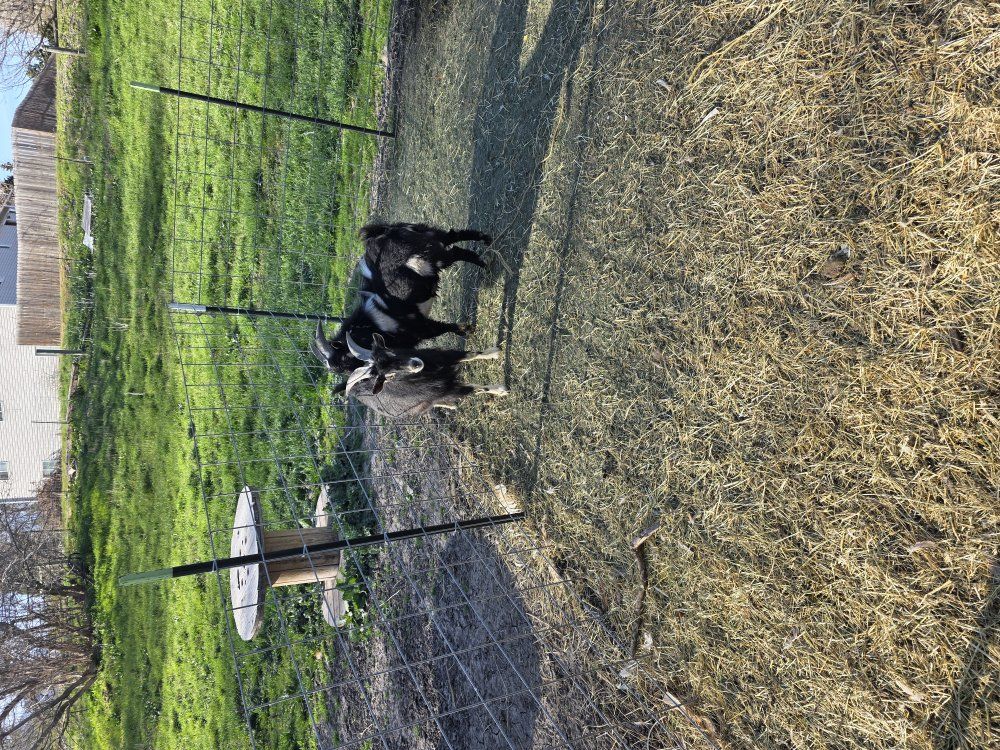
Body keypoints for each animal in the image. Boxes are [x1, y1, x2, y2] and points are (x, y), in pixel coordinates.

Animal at [336, 332, 506, 419]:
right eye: (388, 376)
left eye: (390, 351)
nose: (415, 364)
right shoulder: (446, 390)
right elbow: (475, 388)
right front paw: (501, 390)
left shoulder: (443, 357)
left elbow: (471, 354)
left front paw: (494, 353)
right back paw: (451, 405)